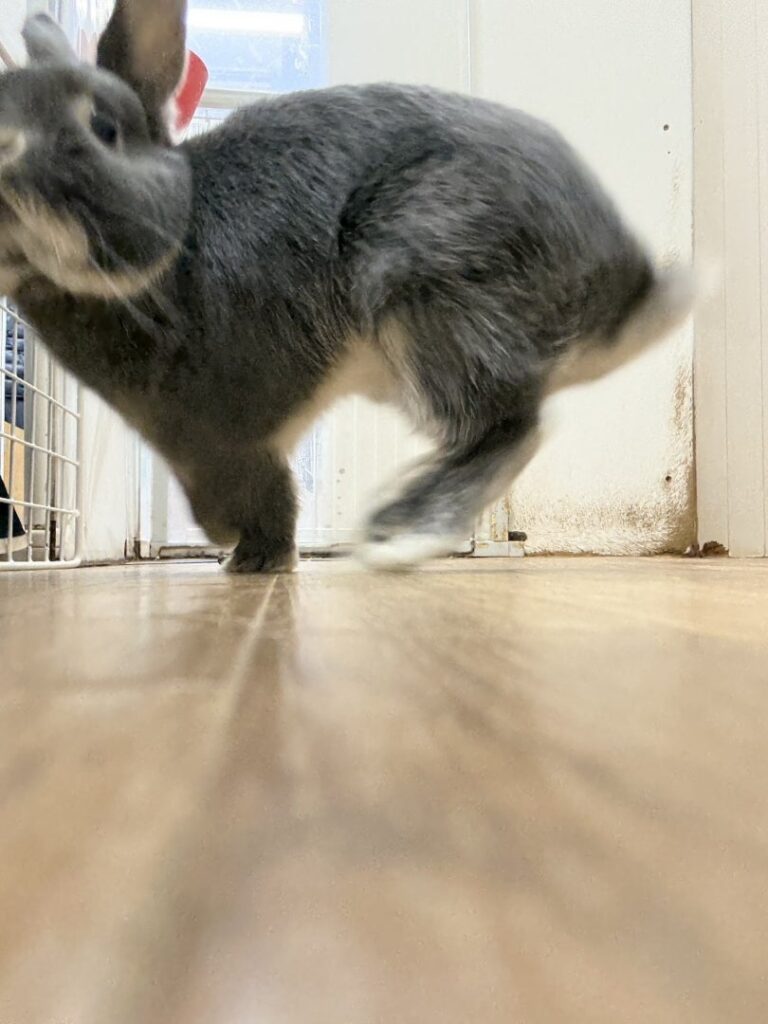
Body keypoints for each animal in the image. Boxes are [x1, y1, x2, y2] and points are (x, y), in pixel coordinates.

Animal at [0, 1, 692, 573]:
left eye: (103, 127)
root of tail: (619, 284)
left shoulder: (231, 434)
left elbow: (259, 496)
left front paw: (251, 558)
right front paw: (245, 558)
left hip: (427, 290)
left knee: (509, 426)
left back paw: (400, 533)